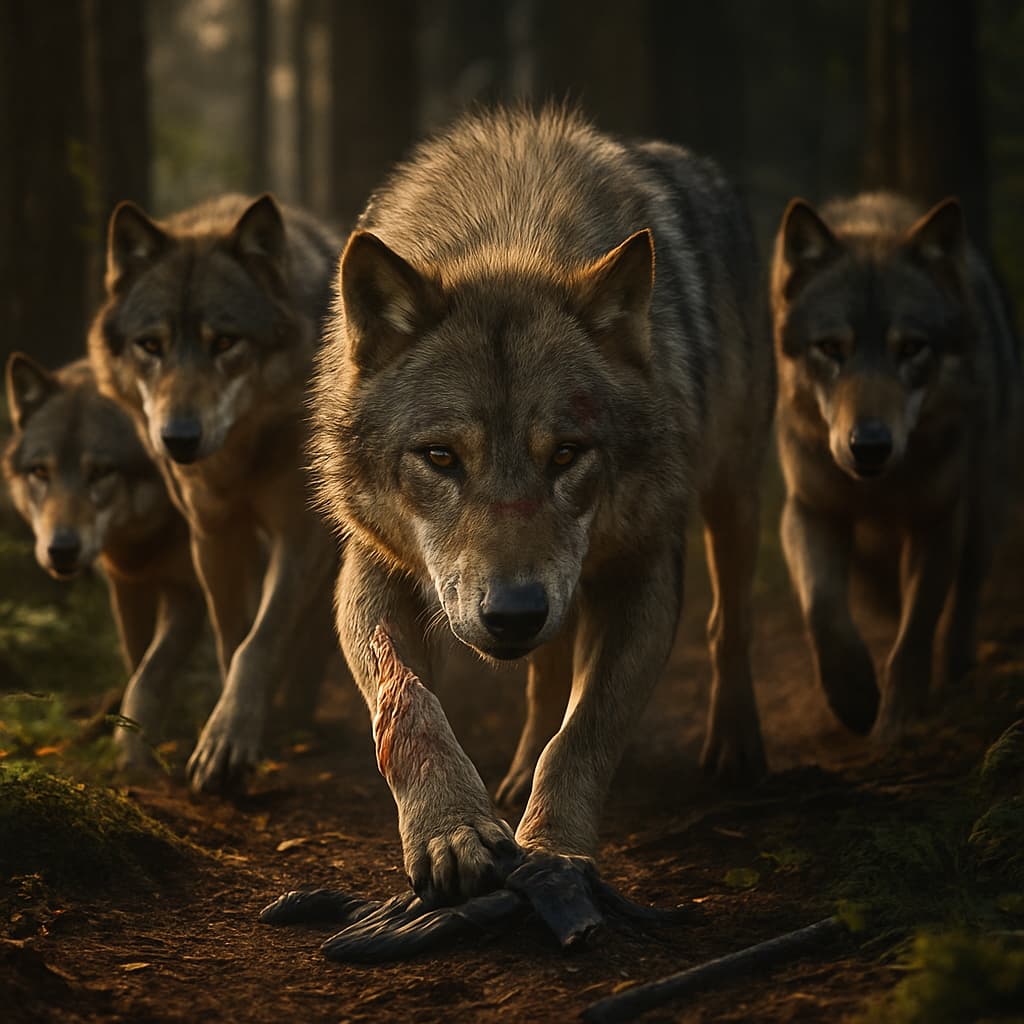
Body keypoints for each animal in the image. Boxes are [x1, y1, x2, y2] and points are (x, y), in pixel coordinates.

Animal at [3, 353, 206, 768]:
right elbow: (137, 659)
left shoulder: (189, 591)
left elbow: (151, 671)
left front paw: (133, 756)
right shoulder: (127, 584)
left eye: (100, 472)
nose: (62, 548)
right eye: (40, 471)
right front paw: (137, 733)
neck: (145, 536)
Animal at [88, 193, 343, 792]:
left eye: (225, 342)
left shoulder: (301, 534)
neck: (239, 457)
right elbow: (234, 637)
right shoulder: (214, 534)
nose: (178, 438)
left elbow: (261, 641)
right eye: (150, 345)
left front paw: (229, 743)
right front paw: (231, 733)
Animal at [312, 107, 775, 904]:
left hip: (733, 497)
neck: (512, 224)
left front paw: (555, 848)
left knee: (730, 622)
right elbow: (409, 707)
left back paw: (736, 743)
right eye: (441, 457)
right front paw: (453, 830)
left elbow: (584, 732)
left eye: (566, 454)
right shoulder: (375, 566)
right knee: (546, 672)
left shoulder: (643, 571)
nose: (514, 611)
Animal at [771, 192, 1020, 745]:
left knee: (967, 594)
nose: (869, 446)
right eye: (831, 348)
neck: (879, 489)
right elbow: (824, 611)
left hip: (983, 514)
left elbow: (918, 626)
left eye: (910, 348)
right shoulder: (809, 511)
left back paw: (958, 667)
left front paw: (900, 718)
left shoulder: (938, 519)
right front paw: (855, 699)